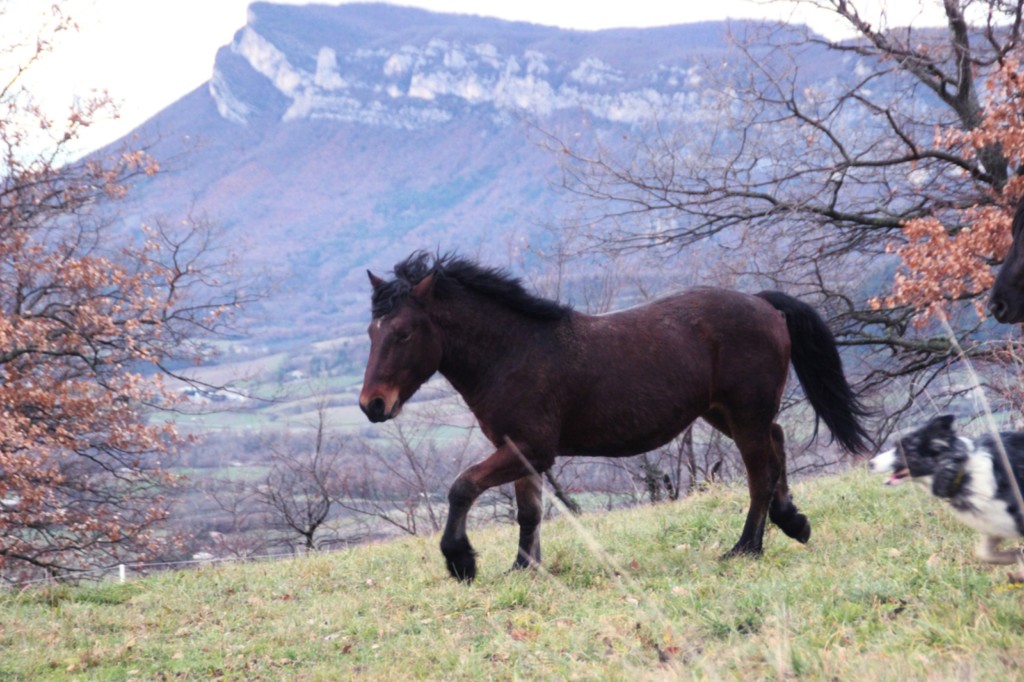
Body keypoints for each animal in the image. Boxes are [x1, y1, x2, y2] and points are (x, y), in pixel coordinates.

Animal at [359, 252, 870, 581]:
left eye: (403, 332)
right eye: (371, 331)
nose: (372, 404)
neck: (513, 352)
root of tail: (763, 303)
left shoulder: (529, 449)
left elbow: (462, 486)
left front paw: (461, 560)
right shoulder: (520, 452)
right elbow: (529, 512)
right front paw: (524, 567)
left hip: (743, 414)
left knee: (759, 476)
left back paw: (746, 549)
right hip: (726, 413)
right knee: (778, 440)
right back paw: (794, 522)